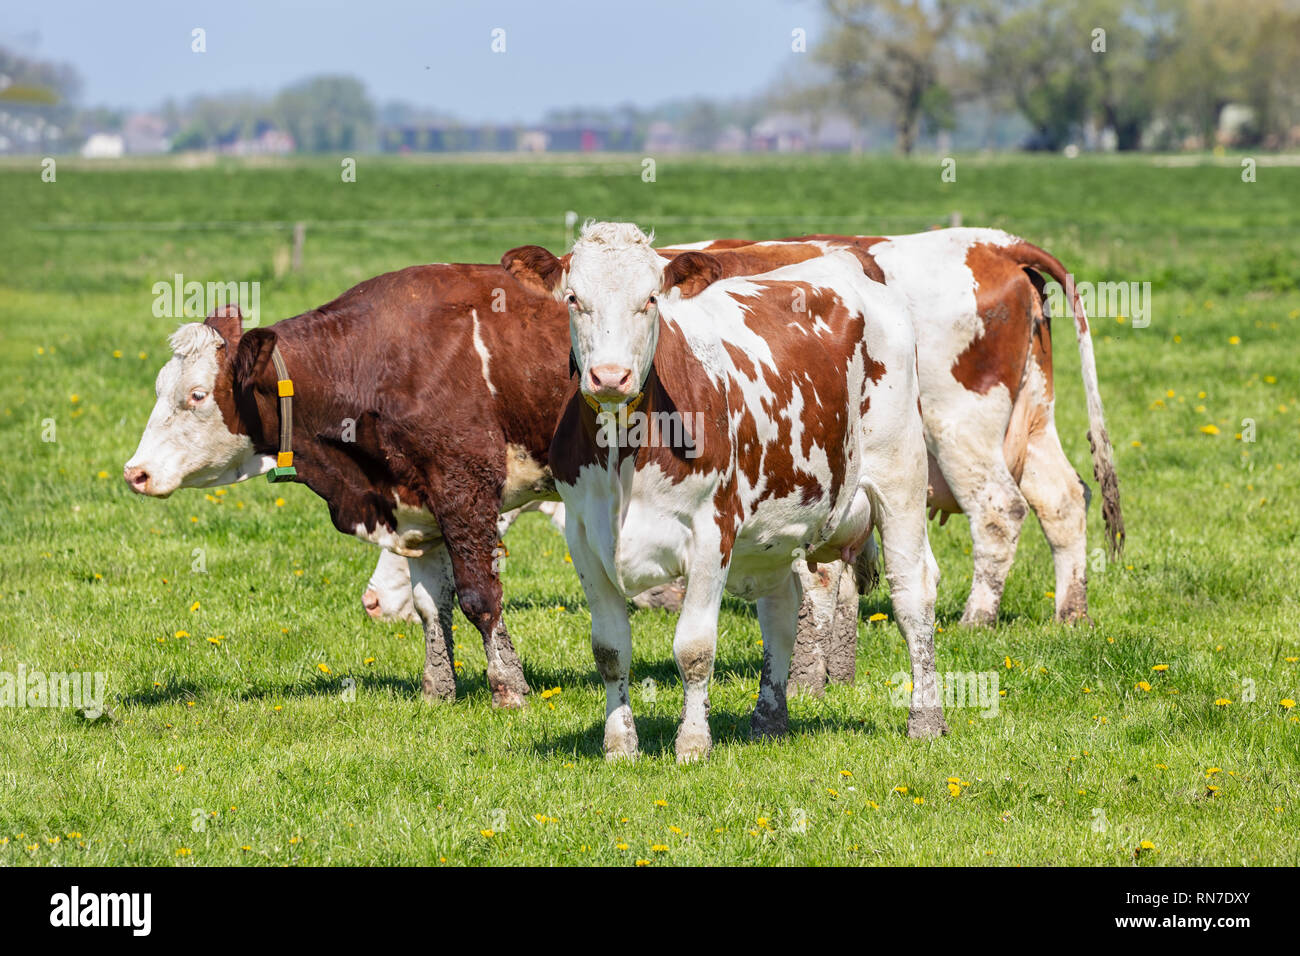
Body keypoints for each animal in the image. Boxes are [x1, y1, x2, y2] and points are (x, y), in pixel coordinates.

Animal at [504, 221, 946, 761]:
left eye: (650, 299)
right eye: (573, 298)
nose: (610, 377)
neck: (626, 455)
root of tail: (844, 262)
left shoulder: (711, 530)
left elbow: (694, 648)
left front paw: (693, 743)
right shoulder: (584, 536)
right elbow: (609, 649)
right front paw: (619, 745)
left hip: (901, 476)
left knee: (913, 594)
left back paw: (925, 719)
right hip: (777, 528)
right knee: (781, 609)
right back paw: (769, 719)